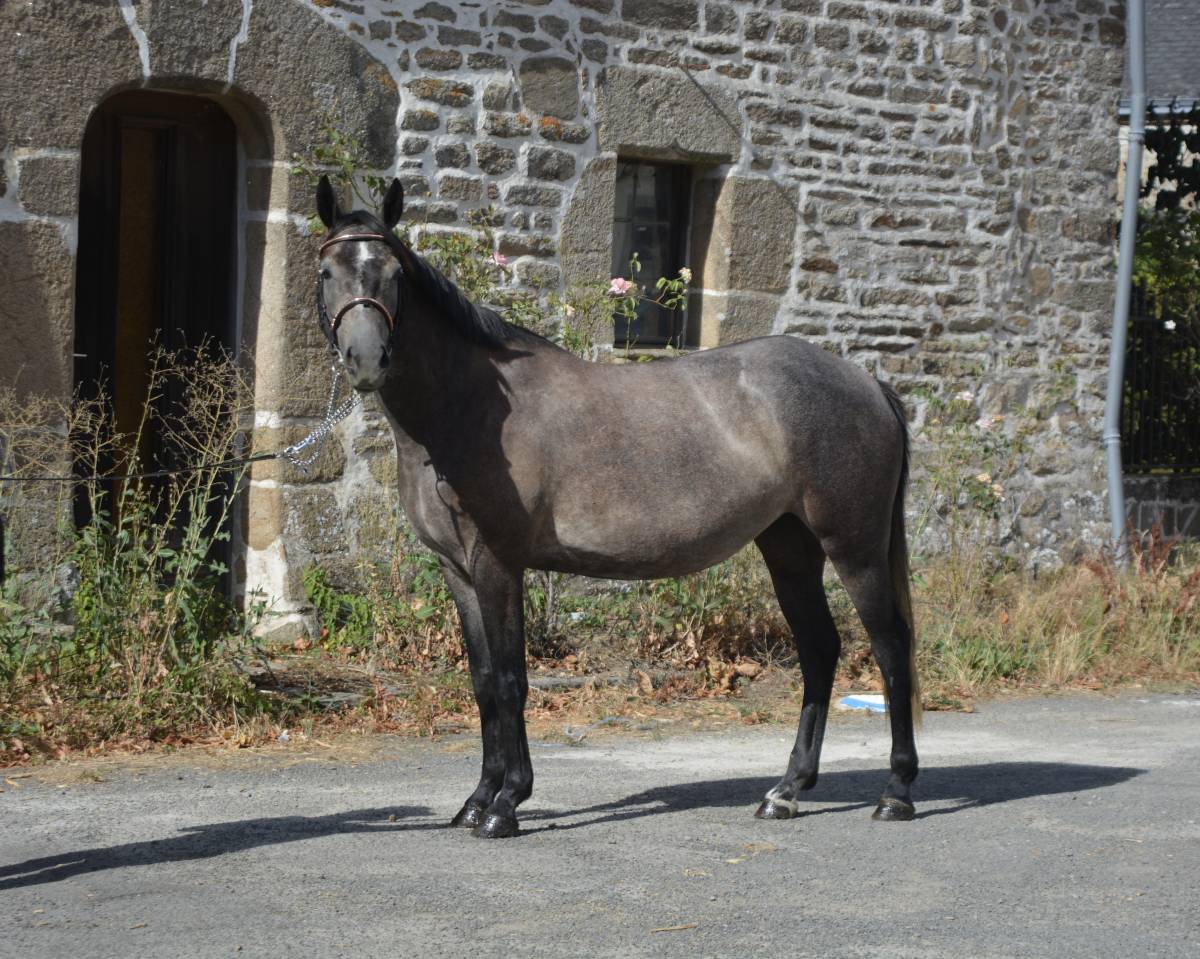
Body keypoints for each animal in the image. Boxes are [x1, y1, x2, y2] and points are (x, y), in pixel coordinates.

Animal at [312, 175, 921, 838]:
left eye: (394, 272)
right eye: (326, 271)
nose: (366, 360)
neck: (468, 409)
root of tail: (867, 383)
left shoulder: (498, 562)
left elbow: (511, 679)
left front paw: (506, 803)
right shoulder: (458, 570)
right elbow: (482, 682)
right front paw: (476, 799)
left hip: (854, 548)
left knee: (890, 648)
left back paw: (896, 792)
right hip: (789, 546)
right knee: (820, 650)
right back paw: (785, 791)